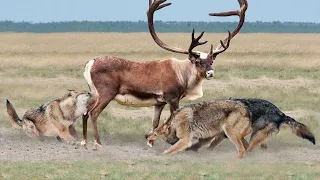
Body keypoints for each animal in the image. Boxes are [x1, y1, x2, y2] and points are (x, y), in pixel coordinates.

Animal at [80, 0, 248, 148]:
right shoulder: (172, 98)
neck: (181, 73)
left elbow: (155, 122)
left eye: (211, 60)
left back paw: (83, 141)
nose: (210, 73)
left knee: (85, 111)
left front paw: (150, 143)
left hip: (94, 93)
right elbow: (174, 118)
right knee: (94, 112)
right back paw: (98, 142)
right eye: (197, 61)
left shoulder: (159, 102)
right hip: (106, 93)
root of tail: (91, 63)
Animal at [147, 98, 316, 159]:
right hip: (241, 135)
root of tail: (281, 113)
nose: (145, 137)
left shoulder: (187, 139)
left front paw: (160, 156)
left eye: (153, 133)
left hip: (232, 133)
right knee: (248, 148)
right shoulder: (207, 137)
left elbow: (169, 150)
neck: (174, 123)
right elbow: (199, 147)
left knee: (243, 150)